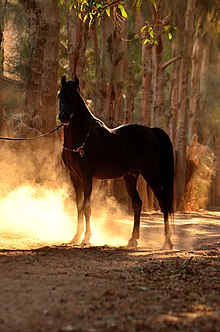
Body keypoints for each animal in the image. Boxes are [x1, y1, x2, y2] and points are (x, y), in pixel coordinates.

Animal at [58, 76, 175, 248]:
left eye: (73, 97)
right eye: (60, 96)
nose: (64, 117)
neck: (82, 139)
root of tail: (152, 131)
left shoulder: (87, 177)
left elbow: (87, 207)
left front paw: (86, 237)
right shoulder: (74, 177)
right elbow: (79, 206)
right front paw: (76, 236)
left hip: (151, 175)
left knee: (163, 202)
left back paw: (167, 242)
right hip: (131, 176)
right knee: (137, 204)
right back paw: (133, 240)